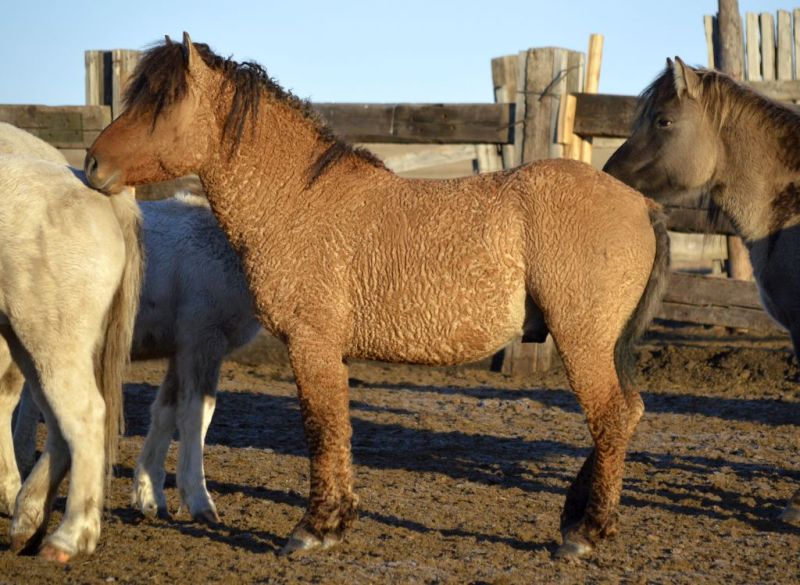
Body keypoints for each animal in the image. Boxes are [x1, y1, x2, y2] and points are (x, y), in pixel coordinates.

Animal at [8, 192, 261, 524]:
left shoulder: (179, 348)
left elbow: (166, 412)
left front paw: (150, 496)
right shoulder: (203, 338)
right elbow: (197, 415)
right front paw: (200, 502)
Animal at [84, 33, 670, 560]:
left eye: (162, 103)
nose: (92, 164)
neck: (298, 202)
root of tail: (640, 203)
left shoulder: (310, 345)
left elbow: (321, 428)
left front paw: (314, 529)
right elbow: (337, 428)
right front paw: (338, 522)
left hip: (583, 342)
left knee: (612, 417)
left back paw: (584, 533)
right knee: (625, 415)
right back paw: (578, 517)